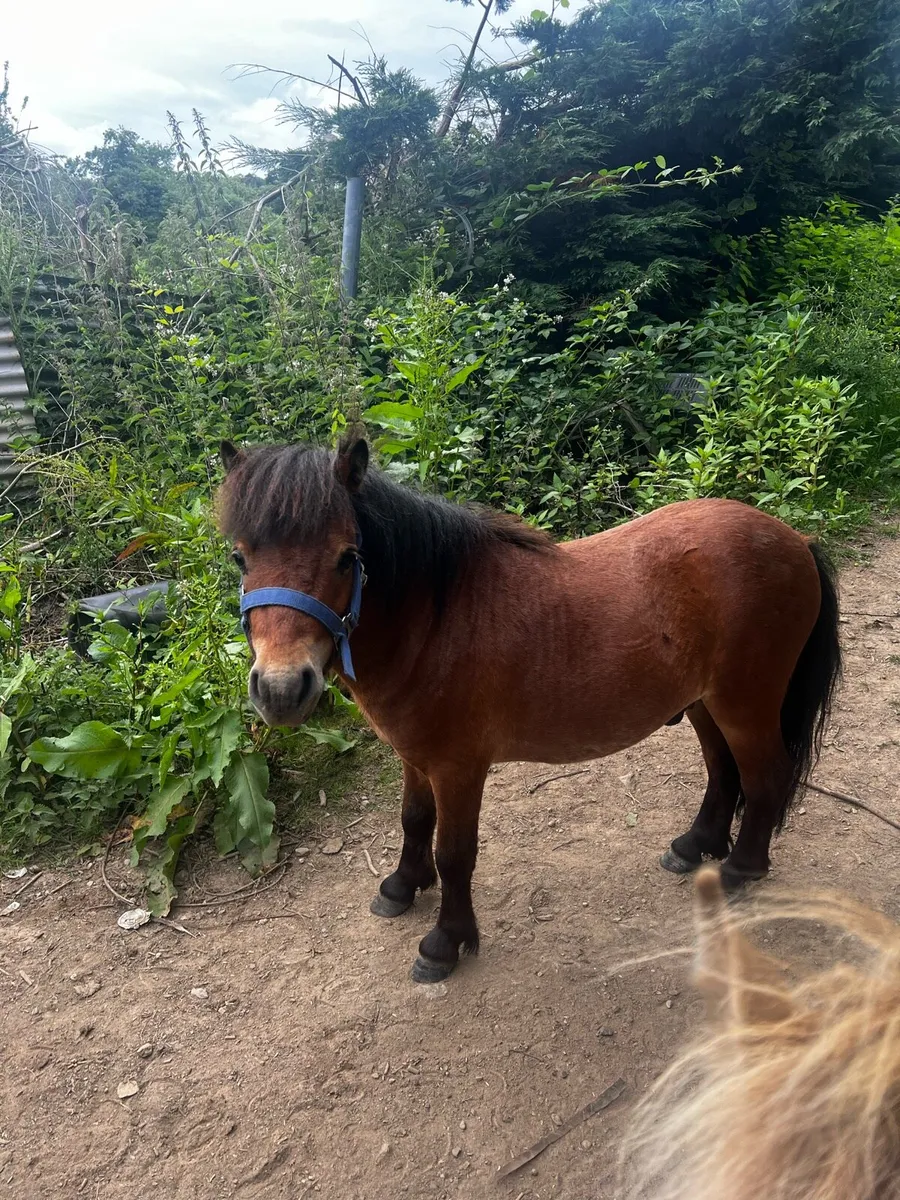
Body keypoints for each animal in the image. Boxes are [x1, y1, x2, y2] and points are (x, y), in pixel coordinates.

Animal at [216, 433, 841, 983]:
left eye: (348, 556)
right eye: (240, 558)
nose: (281, 689)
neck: (435, 621)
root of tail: (795, 540)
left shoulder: (458, 769)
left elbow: (455, 853)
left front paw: (445, 942)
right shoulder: (415, 758)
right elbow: (414, 821)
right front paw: (401, 887)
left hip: (744, 703)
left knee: (765, 776)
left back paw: (741, 868)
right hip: (703, 703)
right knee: (723, 771)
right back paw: (694, 847)